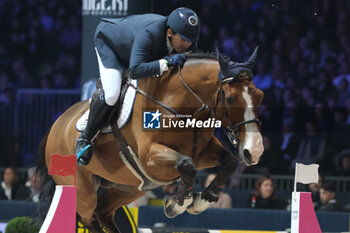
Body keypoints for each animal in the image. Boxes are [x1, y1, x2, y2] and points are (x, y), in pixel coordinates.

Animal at [36, 47, 266, 233]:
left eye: (260, 96)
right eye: (231, 99)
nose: (254, 151)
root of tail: (56, 126)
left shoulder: (203, 152)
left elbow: (229, 162)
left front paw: (203, 199)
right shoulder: (150, 158)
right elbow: (186, 165)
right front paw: (177, 204)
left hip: (127, 187)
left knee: (102, 212)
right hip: (83, 191)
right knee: (89, 217)